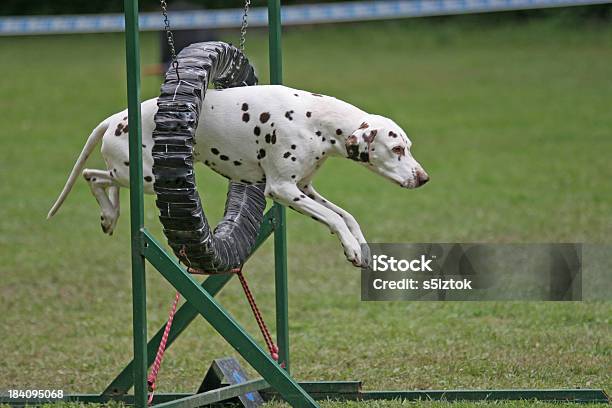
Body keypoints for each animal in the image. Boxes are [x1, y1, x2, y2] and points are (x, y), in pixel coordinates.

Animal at [47, 84, 428, 266]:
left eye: (408, 146)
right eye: (397, 149)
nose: (424, 178)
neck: (315, 117)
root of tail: (114, 118)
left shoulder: (305, 189)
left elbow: (347, 216)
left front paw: (360, 247)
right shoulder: (283, 190)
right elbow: (335, 220)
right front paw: (350, 248)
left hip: (139, 178)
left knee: (102, 179)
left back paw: (109, 217)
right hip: (145, 178)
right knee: (94, 176)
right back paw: (108, 214)